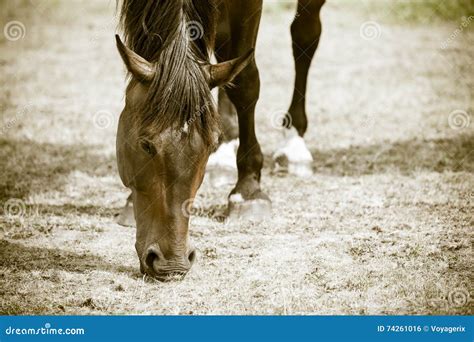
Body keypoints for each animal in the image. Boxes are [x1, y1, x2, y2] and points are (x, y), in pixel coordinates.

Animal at [115, 0, 324, 280]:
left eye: (209, 145)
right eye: (145, 144)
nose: (172, 263)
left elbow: (245, 81)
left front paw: (248, 190)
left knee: (305, 33)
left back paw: (294, 143)